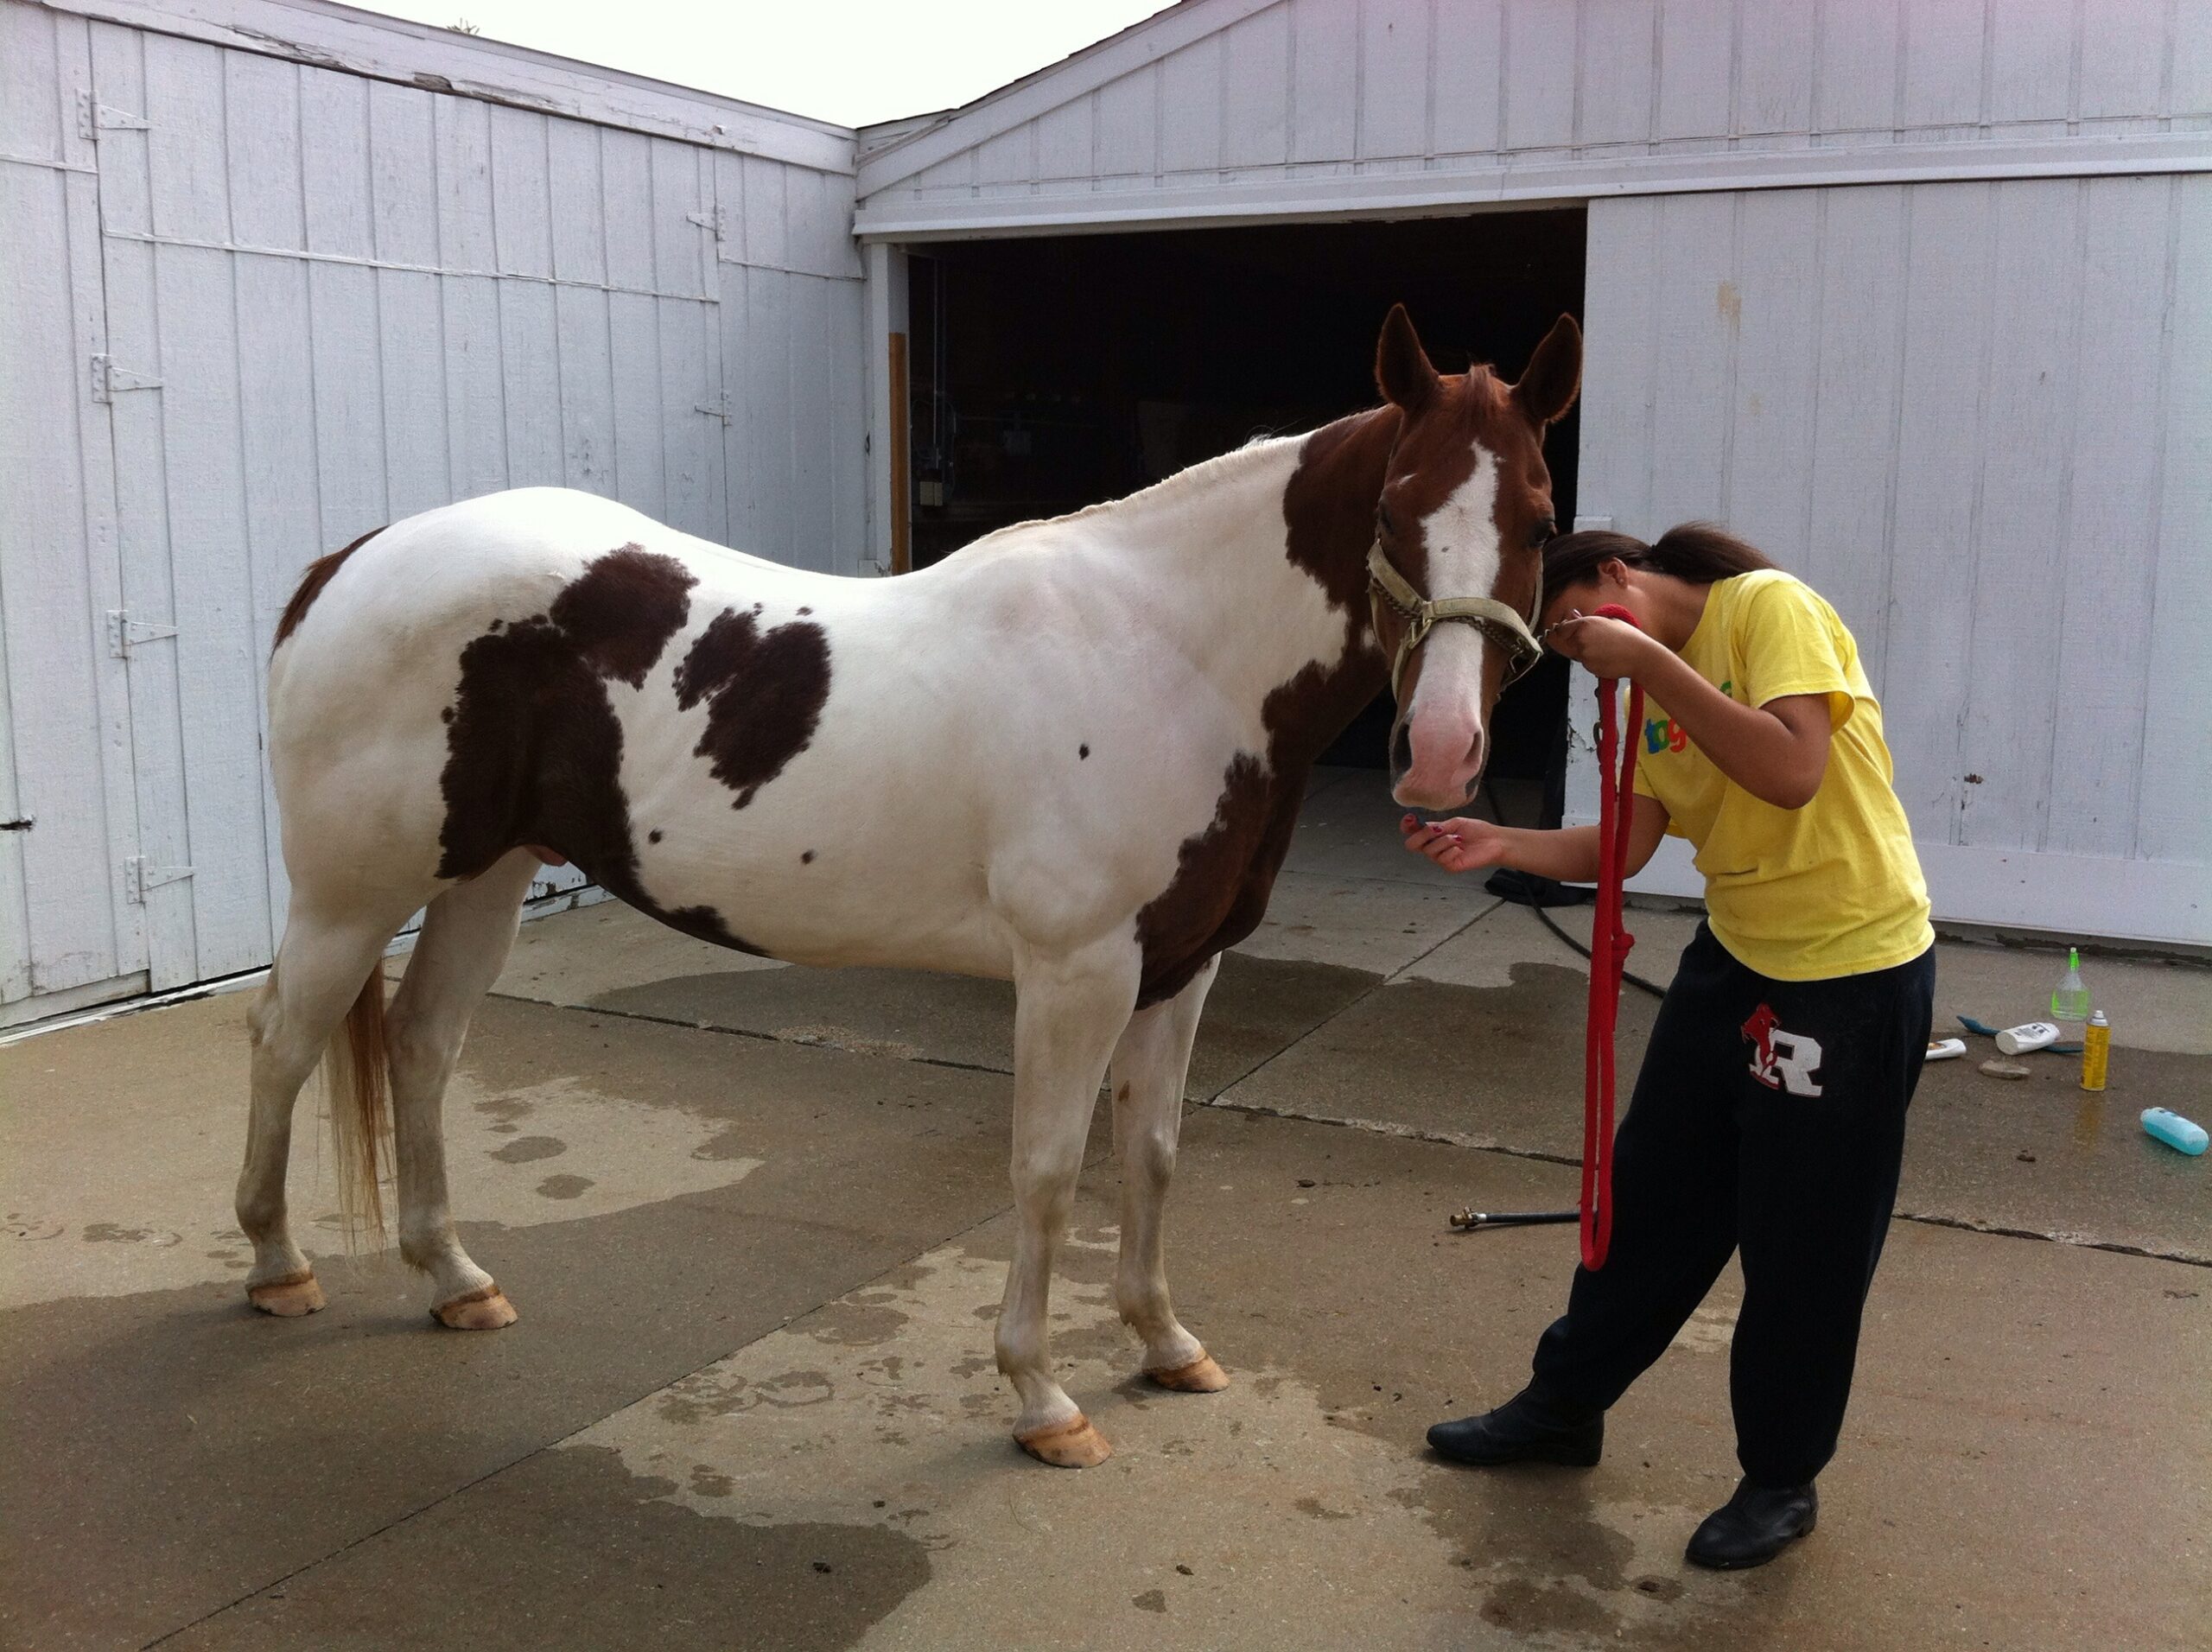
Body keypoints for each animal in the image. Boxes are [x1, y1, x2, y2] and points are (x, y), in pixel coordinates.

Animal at [237, 304, 1581, 1467]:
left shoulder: (1181, 968)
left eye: (1539, 515)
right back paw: (277, 1267)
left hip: (486, 876)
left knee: (422, 1046)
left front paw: (1164, 1345)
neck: (1168, 654)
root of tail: (348, 563)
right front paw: (1042, 1399)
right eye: (1396, 509)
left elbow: (1151, 1154)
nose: (1444, 751)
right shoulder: (1077, 974)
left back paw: (455, 1281)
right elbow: (1048, 1172)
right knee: (284, 1041)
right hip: (352, 896)